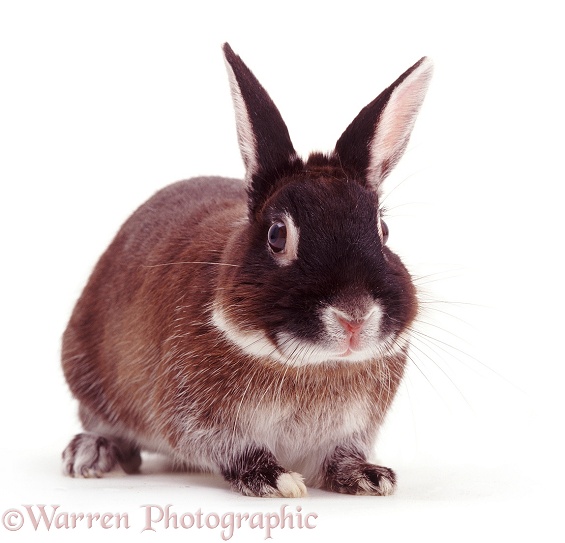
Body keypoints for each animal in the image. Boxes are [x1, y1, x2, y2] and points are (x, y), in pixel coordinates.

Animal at [60, 44, 432, 500]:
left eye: (383, 229)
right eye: (277, 235)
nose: (354, 317)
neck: (311, 365)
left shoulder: (352, 427)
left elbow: (341, 454)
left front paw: (368, 476)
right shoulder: (199, 419)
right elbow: (229, 449)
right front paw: (276, 479)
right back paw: (92, 454)